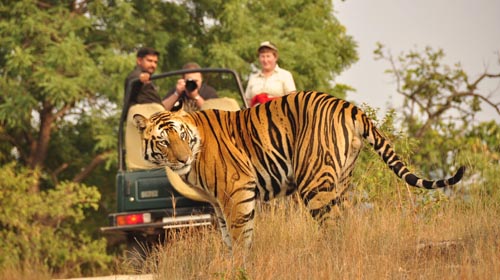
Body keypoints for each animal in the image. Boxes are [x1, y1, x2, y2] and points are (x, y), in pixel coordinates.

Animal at [133, 91, 464, 250]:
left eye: (181, 135)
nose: (182, 159)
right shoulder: (218, 203)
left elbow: (241, 238)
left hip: (314, 182)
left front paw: (240, 265)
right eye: (163, 141)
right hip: (341, 179)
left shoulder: (236, 191)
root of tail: (349, 106)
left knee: (332, 226)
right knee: (345, 222)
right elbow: (229, 238)